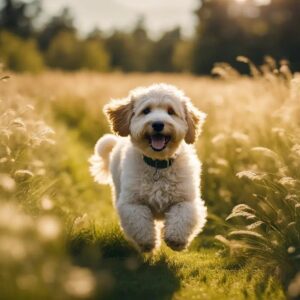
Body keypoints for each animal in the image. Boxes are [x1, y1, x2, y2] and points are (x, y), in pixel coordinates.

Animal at [89, 83, 206, 252]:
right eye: (146, 111)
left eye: (171, 111)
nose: (157, 124)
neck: (158, 165)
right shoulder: (132, 203)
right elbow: (140, 223)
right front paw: (148, 243)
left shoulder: (187, 201)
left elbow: (182, 217)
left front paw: (176, 240)